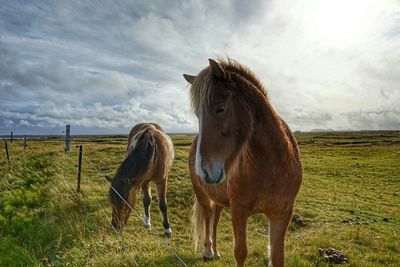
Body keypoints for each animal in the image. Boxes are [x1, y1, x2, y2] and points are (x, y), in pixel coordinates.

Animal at [183, 59, 302, 267]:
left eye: (221, 108)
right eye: (198, 115)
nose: (203, 171)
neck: (271, 168)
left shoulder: (282, 213)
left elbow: (277, 257)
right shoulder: (239, 210)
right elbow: (240, 252)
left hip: (219, 199)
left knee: (215, 219)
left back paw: (216, 251)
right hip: (202, 194)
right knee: (207, 217)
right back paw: (208, 251)